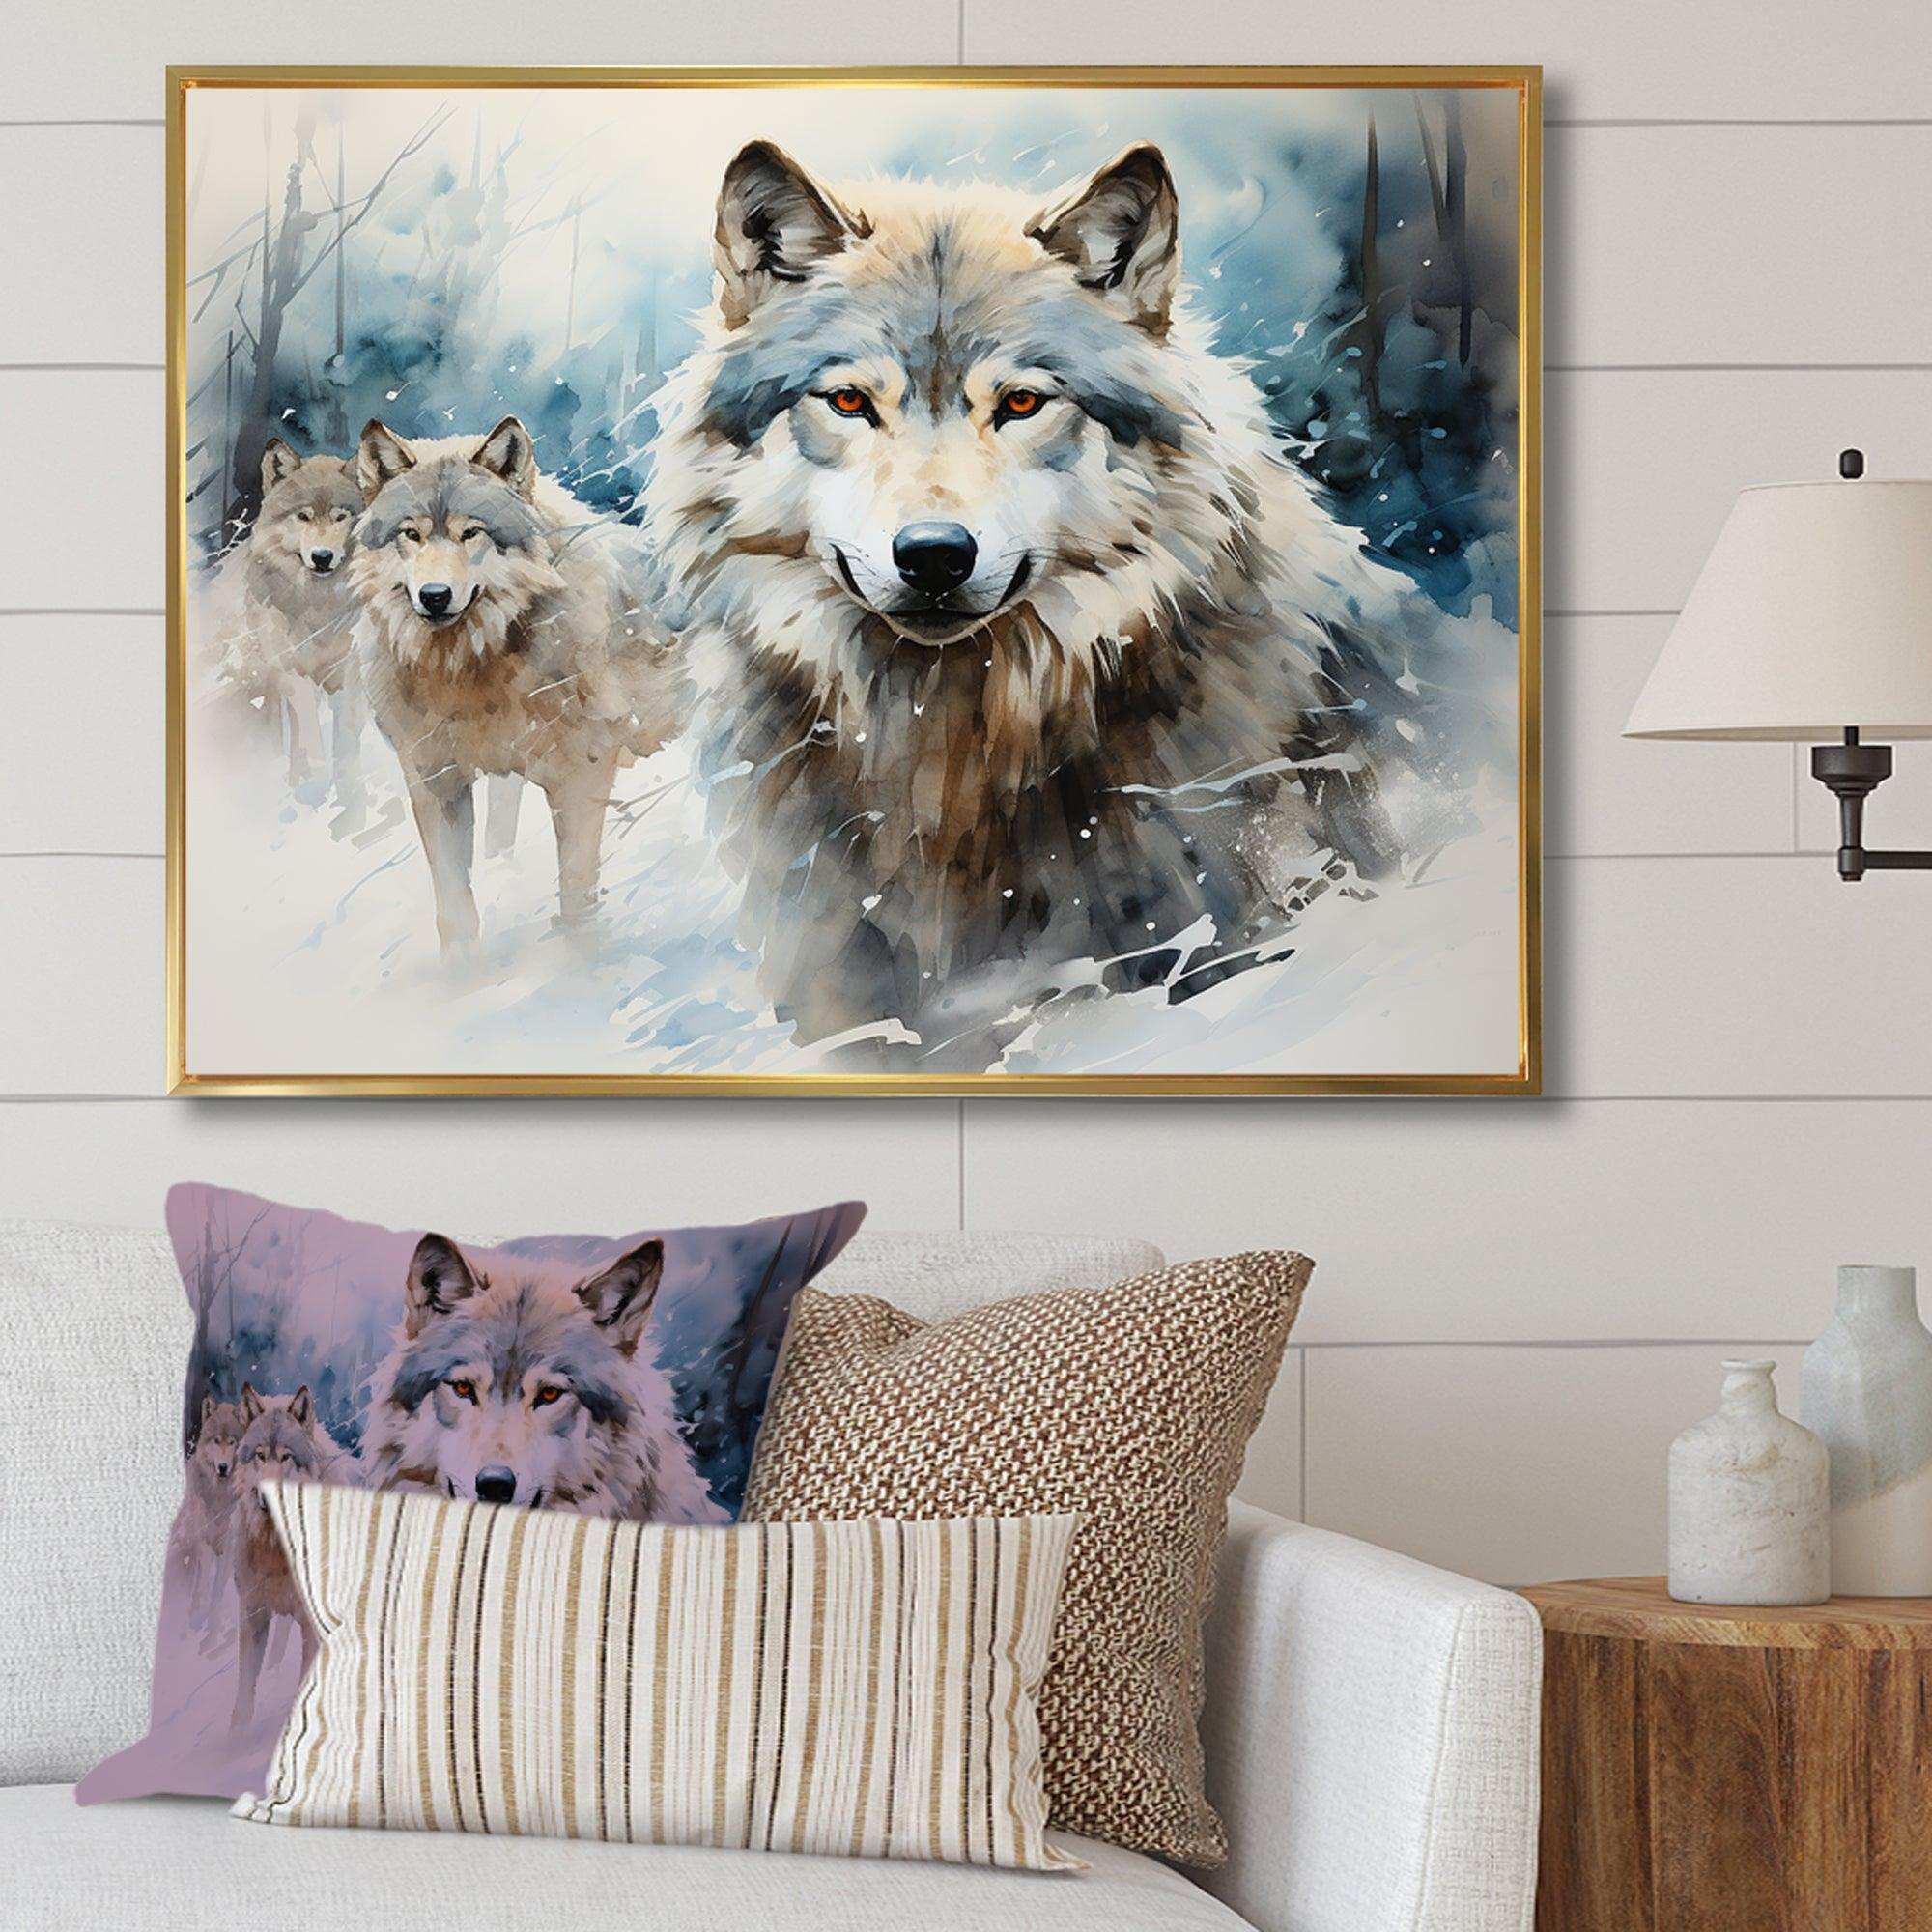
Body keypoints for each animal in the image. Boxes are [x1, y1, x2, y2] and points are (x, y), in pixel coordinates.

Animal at [165, 1394, 241, 1629]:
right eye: (216, 1440)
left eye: (232, 1442)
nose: (223, 1467)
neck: (219, 1496)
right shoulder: (203, 1543)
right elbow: (204, 1585)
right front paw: (197, 1618)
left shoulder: (228, 1547)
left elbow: (217, 1590)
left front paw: (212, 1620)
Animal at [208, 438, 370, 827]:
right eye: (304, 516)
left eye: (341, 517)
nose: (322, 556)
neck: (319, 606)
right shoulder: (293, 670)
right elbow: (308, 731)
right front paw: (315, 783)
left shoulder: (348, 673)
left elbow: (346, 738)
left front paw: (351, 800)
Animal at [229, 1383, 334, 1732]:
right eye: (260, 1455)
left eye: (286, 1456)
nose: (267, 1496)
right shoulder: (253, 1613)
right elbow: (246, 1686)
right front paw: (235, 1737)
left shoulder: (312, 1625)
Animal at [350, 415, 684, 953]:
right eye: (411, 535)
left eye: (471, 533)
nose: (435, 596)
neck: (470, 665)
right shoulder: (434, 778)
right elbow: (454, 900)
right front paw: (462, 970)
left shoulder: (582, 774)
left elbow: (576, 892)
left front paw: (582, 961)